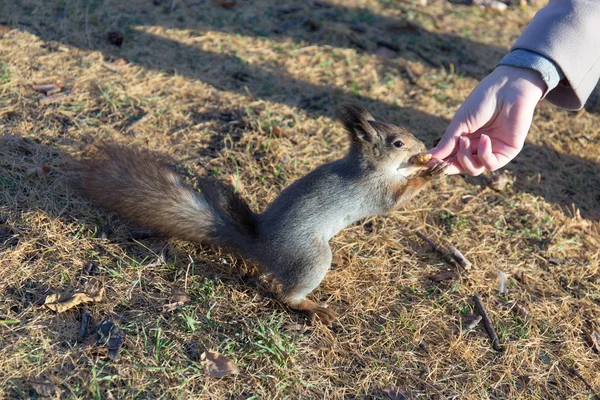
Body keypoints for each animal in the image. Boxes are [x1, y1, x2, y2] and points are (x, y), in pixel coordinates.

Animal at [81, 104, 446, 324]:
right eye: (398, 142)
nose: (422, 147)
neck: (365, 166)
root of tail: (260, 246)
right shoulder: (376, 191)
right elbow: (396, 200)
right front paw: (430, 170)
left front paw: (426, 163)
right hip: (310, 258)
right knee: (286, 294)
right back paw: (313, 308)